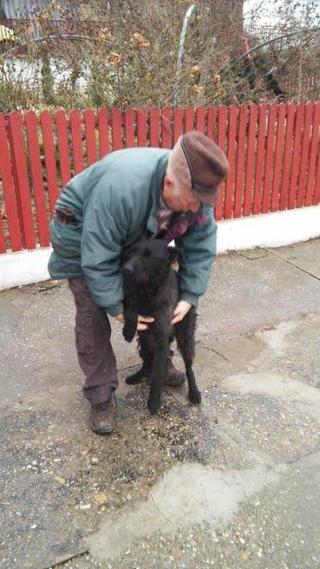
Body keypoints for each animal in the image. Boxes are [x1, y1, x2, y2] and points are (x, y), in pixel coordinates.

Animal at [121, 237, 201, 414]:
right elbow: (130, 307)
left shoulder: (161, 339)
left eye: (149, 255)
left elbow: (157, 376)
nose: (126, 270)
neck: (149, 290)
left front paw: (154, 403)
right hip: (145, 338)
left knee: (188, 367)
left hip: (185, 337)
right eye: (132, 252)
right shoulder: (132, 297)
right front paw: (128, 329)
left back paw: (194, 392)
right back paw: (138, 376)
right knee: (147, 362)